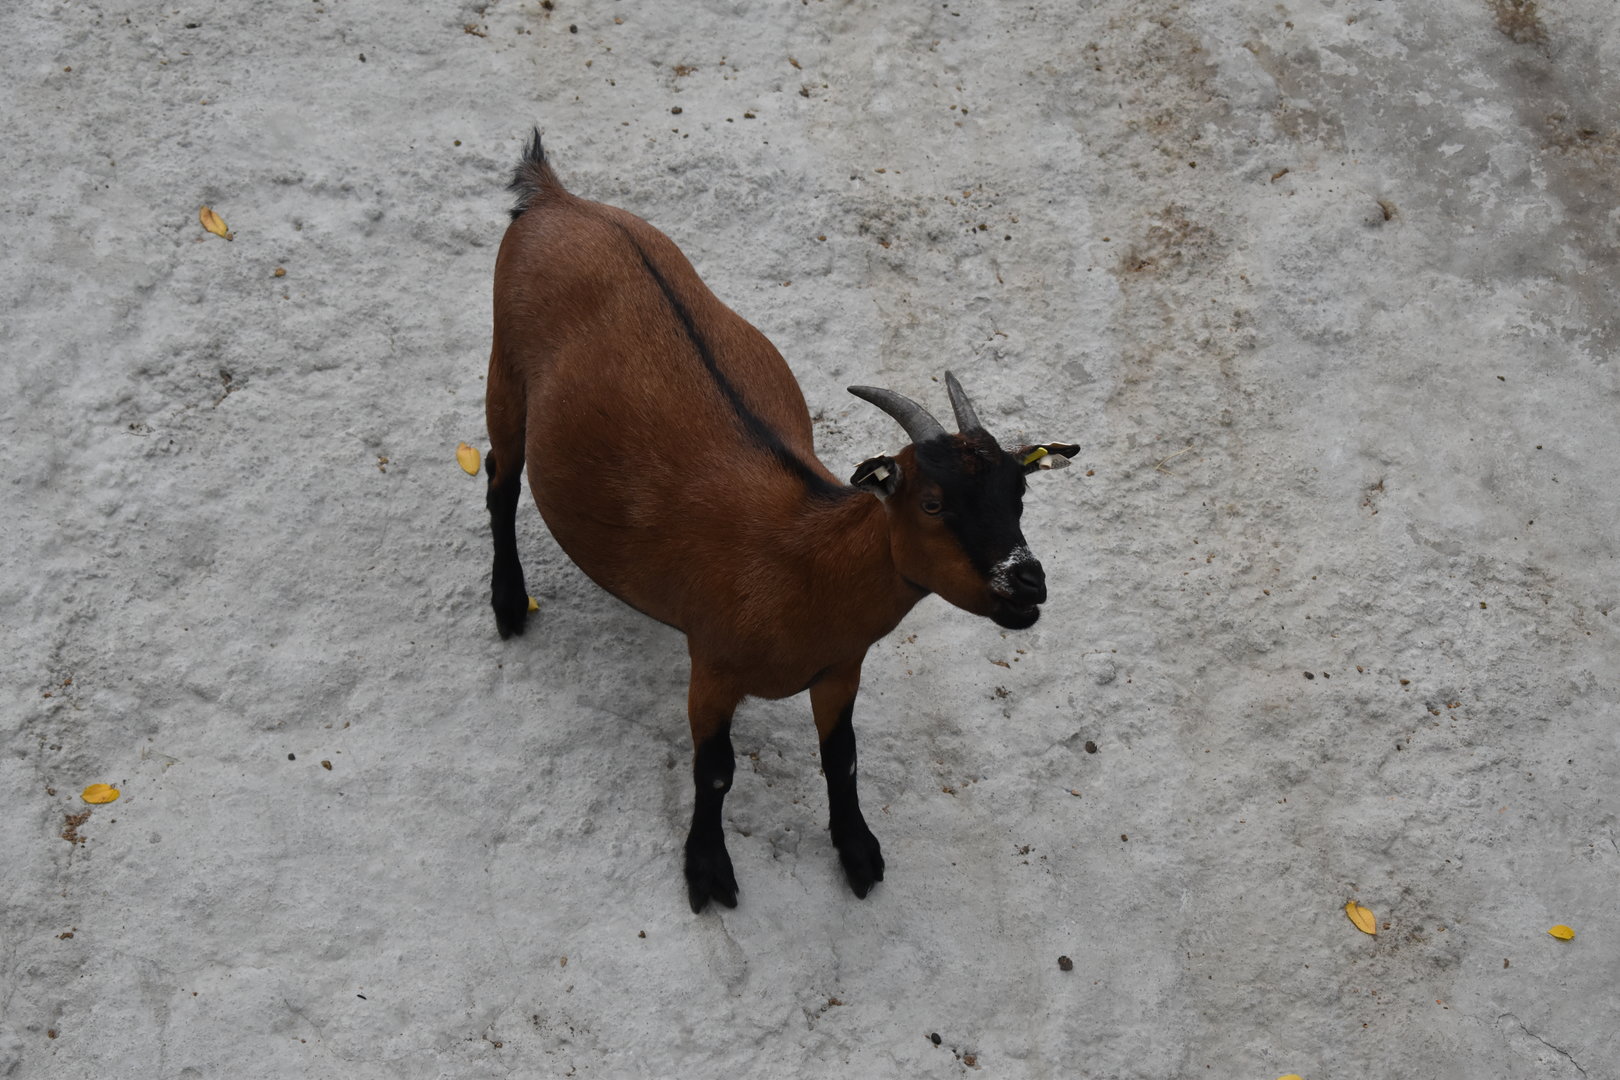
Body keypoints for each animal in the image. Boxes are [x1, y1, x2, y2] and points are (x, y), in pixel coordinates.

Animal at [484, 133, 1078, 912]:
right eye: (931, 502)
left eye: (1021, 493)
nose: (1026, 584)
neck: (805, 562)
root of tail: (555, 199)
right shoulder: (712, 665)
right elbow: (715, 770)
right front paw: (707, 870)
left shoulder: (840, 668)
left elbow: (844, 759)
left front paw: (858, 852)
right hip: (505, 366)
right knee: (498, 479)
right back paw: (507, 603)